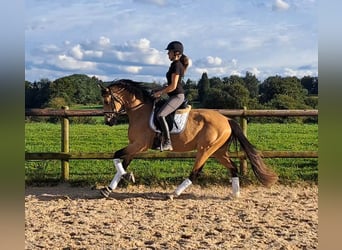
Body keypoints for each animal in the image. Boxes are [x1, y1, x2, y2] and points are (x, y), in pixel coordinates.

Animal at [97, 79, 278, 198]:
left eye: (107, 100)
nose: (108, 121)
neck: (139, 111)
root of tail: (227, 119)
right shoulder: (134, 145)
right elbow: (123, 161)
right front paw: (109, 188)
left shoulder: (140, 145)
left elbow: (116, 156)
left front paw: (127, 176)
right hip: (218, 151)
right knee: (233, 168)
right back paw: (235, 195)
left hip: (205, 149)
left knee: (195, 172)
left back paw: (174, 194)